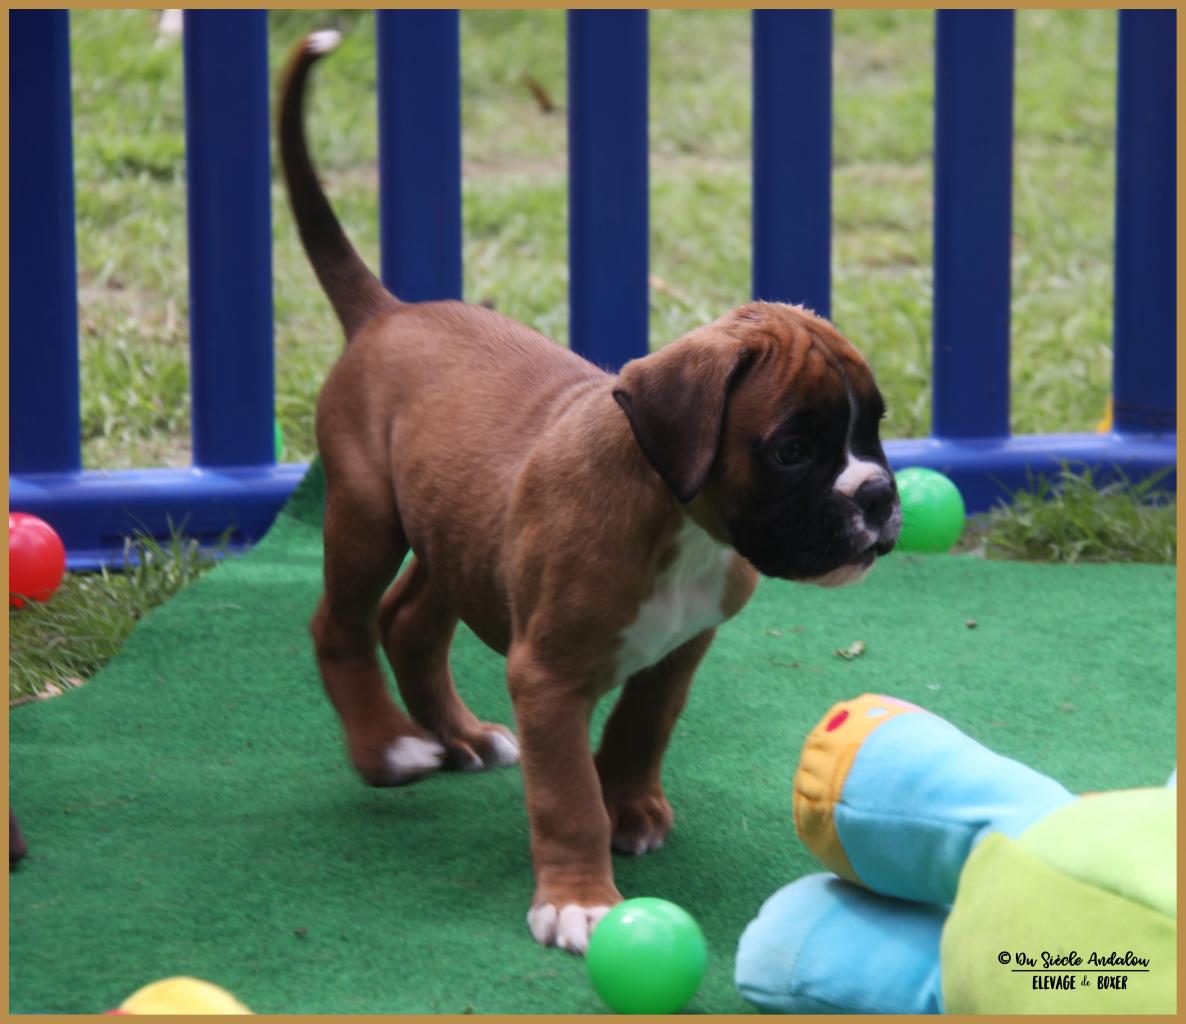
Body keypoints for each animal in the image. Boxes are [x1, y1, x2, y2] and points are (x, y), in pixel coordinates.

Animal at [279, 30, 901, 954]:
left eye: (875, 430)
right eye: (793, 451)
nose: (878, 496)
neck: (679, 524)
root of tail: (387, 311)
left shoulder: (681, 647)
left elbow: (642, 728)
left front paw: (630, 805)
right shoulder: (547, 678)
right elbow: (565, 790)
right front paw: (578, 896)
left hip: (457, 534)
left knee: (409, 622)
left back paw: (461, 737)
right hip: (365, 510)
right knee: (342, 623)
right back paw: (387, 747)